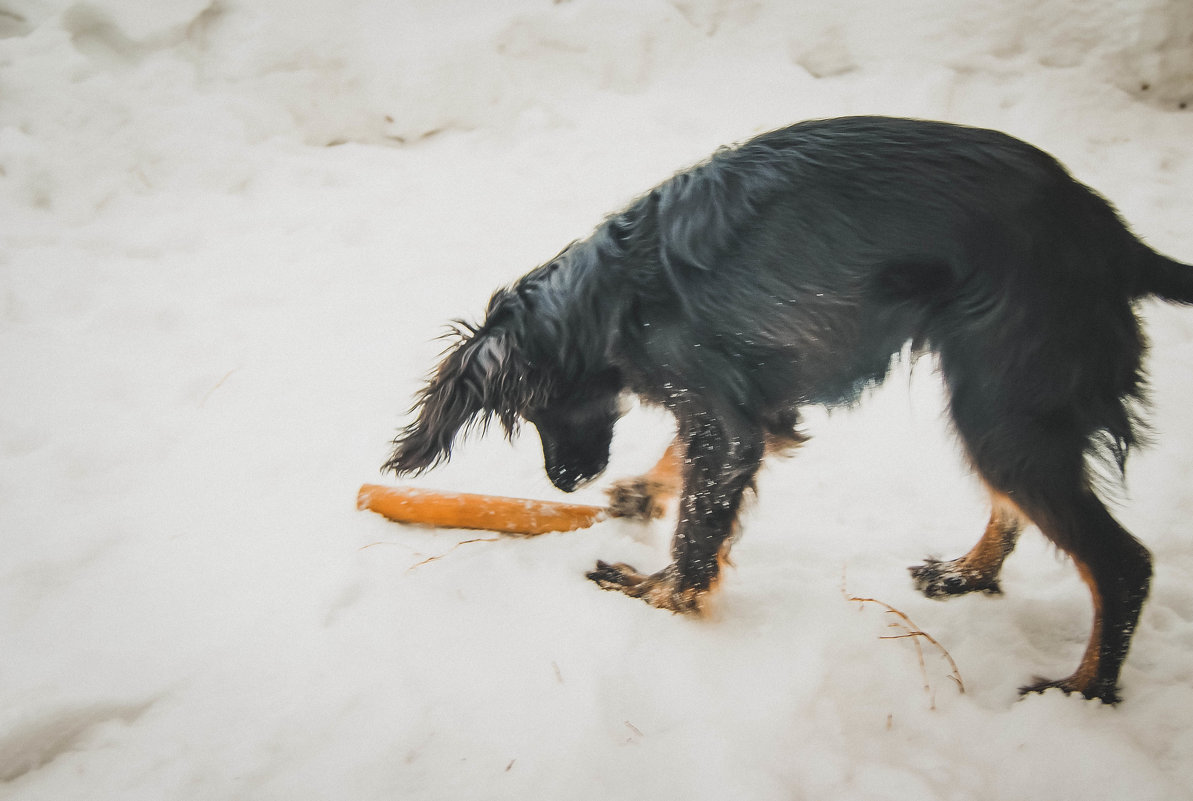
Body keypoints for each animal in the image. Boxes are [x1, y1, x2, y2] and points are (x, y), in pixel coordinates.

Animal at [384, 117, 1193, 701]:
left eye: (537, 412)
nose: (562, 483)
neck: (615, 292)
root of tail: (1112, 236)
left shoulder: (722, 414)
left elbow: (696, 535)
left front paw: (653, 592)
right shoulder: (749, 406)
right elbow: (688, 465)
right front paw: (641, 494)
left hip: (1003, 404)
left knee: (1122, 565)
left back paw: (1083, 690)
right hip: (998, 403)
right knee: (1019, 509)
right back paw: (965, 576)